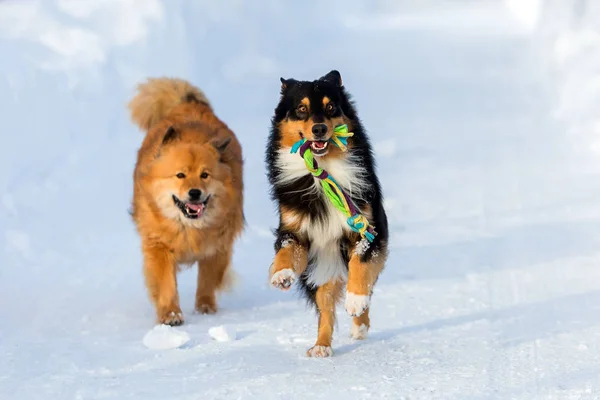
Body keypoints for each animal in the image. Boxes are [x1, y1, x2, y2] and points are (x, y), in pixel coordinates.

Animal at [128, 77, 244, 324]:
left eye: (205, 175)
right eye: (180, 175)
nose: (194, 193)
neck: (188, 227)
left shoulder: (217, 247)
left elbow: (207, 280)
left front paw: (205, 308)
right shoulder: (158, 246)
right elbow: (165, 284)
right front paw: (170, 314)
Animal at [264, 70, 386, 358]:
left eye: (331, 107)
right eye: (301, 108)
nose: (319, 129)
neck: (322, 172)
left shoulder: (368, 228)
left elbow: (361, 264)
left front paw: (355, 300)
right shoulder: (294, 230)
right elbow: (286, 250)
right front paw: (281, 274)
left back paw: (359, 324)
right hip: (321, 267)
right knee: (325, 308)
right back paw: (321, 346)